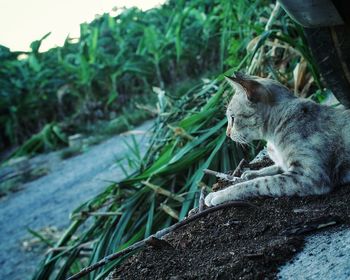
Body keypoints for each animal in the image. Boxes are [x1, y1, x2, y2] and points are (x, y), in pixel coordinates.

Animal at [204, 72, 350, 207]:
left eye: (233, 118)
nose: (227, 134)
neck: (271, 139)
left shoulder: (310, 175)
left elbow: (258, 183)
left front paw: (218, 194)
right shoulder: (287, 166)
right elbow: (270, 169)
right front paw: (250, 173)